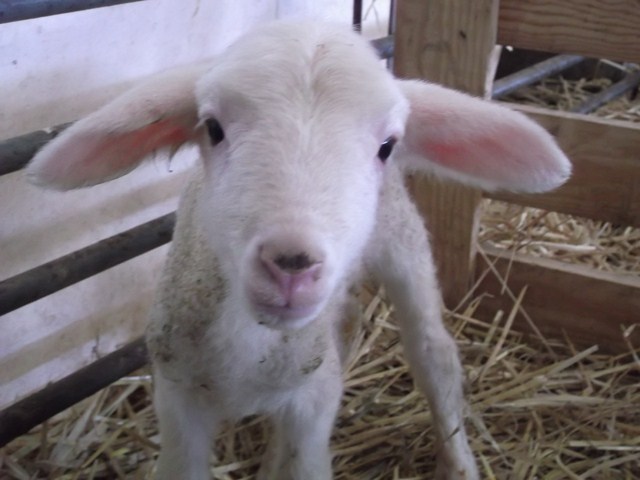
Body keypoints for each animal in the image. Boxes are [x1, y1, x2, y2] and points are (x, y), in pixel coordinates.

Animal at [27, 19, 572, 480]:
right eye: (213, 128)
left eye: (387, 145)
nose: (292, 264)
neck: (248, 340)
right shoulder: (177, 399)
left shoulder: (313, 406)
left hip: (403, 243)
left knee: (432, 352)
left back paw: (458, 462)